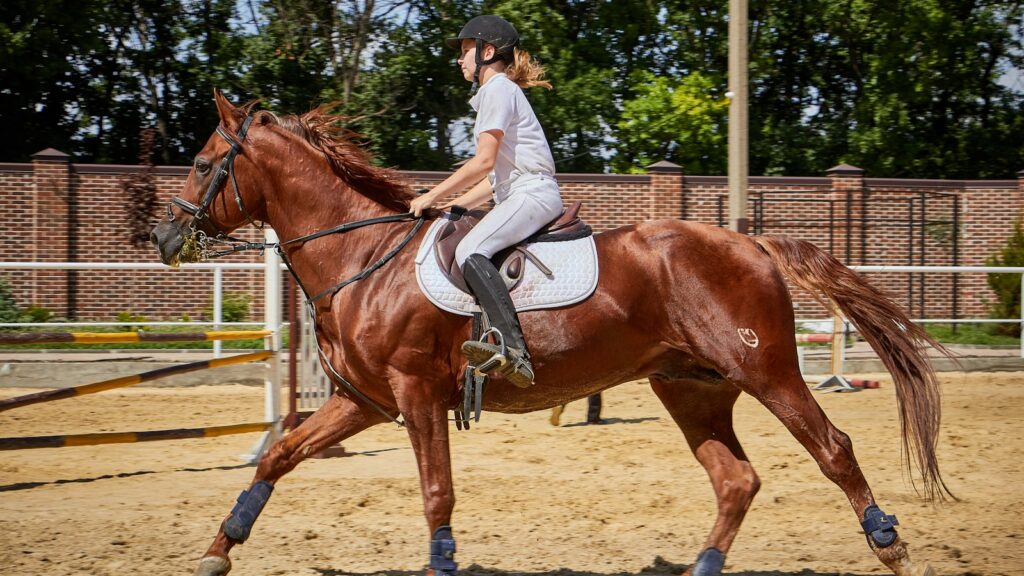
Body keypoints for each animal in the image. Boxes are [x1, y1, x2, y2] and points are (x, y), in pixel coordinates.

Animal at [150, 92, 952, 576]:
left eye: (200, 163)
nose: (161, 237)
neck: (362, 259)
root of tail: (749, 241)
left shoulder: (415, 394)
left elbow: (436, 493)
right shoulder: (365, 401)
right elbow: (277, 455)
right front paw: (220, 548)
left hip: (768, 371)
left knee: (832, 449)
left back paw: (890, 543)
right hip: (690, 388)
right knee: (736, 480)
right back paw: (704, 563)